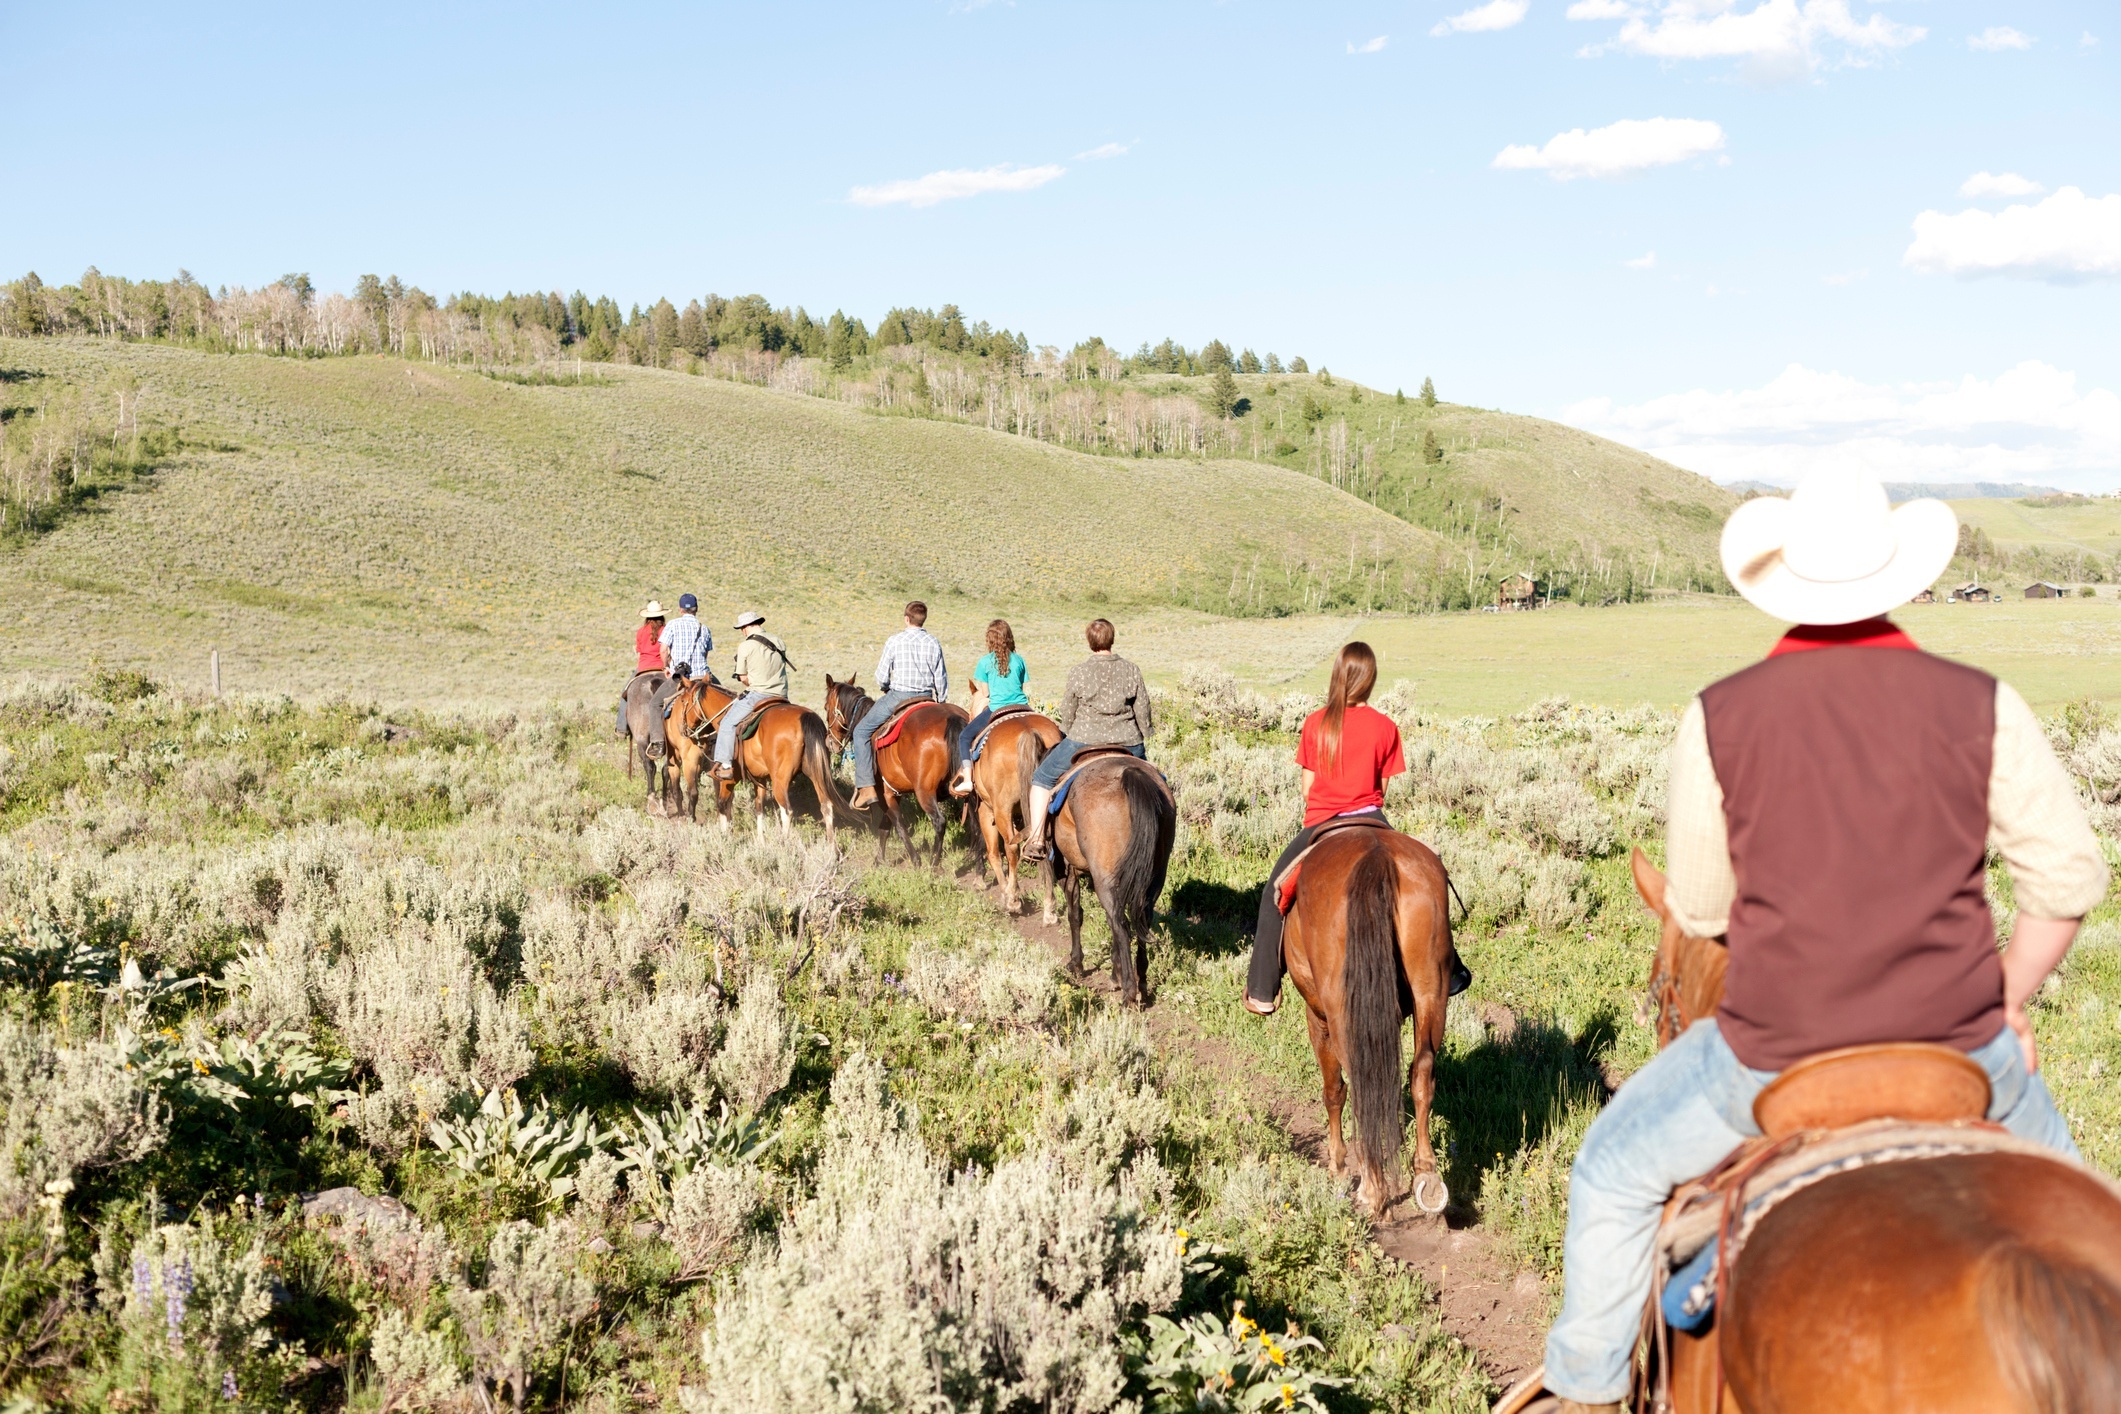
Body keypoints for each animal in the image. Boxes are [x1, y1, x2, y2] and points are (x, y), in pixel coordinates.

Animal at [818, 678, 971, 869]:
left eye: (826, 707)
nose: (829, 742)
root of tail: (953, 717)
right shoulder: (894, 793)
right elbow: (886, 827)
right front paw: (879, 859)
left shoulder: (885, 794)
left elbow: (898, 825)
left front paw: (915, 859)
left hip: (925, 792)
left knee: (939, 822)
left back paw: (933, 862)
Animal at [962, 712, 1060, 924]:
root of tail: (1028, 731)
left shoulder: (986, 811)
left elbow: (993, 853)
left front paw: (1007, 895)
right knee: (1044, 846)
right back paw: (1049, 909)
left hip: (1001, 810)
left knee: (1011, 848)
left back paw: (1013, 900)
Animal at [1026, 746, 1179, 1013]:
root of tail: (1133, 775)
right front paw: (1114, 974)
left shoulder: (1070, 872)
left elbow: (1075, 915)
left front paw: (1076, 964)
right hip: (1154, 877)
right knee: (1139, 921)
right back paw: (1142, 983)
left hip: (1105, 879)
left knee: (1122, 925)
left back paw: (1129, 994)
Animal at [1272, 835, 1459, 1221]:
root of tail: (1377, 858)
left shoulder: (1317, 1016)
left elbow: (1333, 1090)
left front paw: (1338, 1165)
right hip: (1431, 993)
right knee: (1421, 1072)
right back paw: (1426, 1177)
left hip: (1340, 1013)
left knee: (1360, 1084)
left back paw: (1373, 1189)